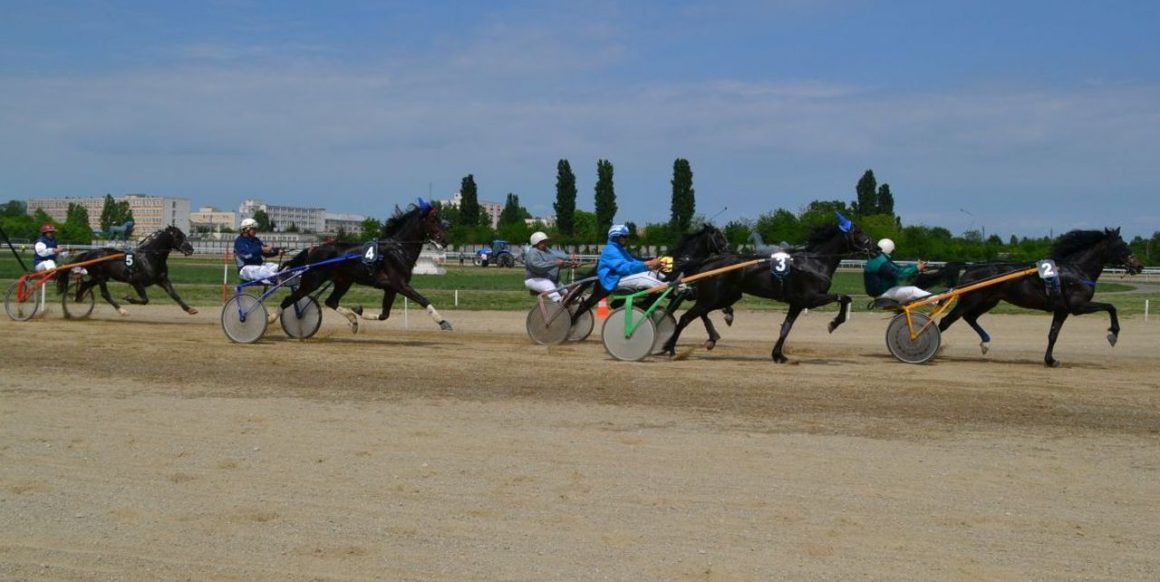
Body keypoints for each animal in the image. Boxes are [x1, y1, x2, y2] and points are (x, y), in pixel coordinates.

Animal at [56, 224, 198, 315]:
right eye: (177, 236)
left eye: (184, 235)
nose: (190, 249)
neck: (149, 258)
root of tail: (89, 253)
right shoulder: (136, 281)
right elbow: (145, 300)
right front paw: (128, 298)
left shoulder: (162, 280)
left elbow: (174, 295)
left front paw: (190, 309)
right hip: (100, 276)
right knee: (105, 294)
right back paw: (122, 310)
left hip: (100, 277)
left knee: (85, 285)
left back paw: (78, 297)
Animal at [278, 202, 450, 333]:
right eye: (433, 220)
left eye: (440, 220)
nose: (445, 241)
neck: (399, 249)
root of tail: (313, 249)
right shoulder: (400, 285)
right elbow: (423, 299)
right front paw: (442, 322)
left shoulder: (391, 288)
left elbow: (385, 314)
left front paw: (358, 310)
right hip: (313, 280)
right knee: (289, 300)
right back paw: (277, 318)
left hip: (343, 281)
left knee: (331, 302)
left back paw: (353, 320)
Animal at [658, 216, 872, 364]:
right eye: (859, 233)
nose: (875, 247)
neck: (814, 263)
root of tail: (708, 262)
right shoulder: (810, 298)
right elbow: (844, 297)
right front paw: (834, 323)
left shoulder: (797, 303)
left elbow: (786, 328)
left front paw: (779, 355)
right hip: (712, 297)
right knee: (686, 318)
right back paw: (670, 348)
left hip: (724, 296)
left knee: (702, 313)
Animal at [932, 226, 1141, 366]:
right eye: (1123, 246)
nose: (1138, 266)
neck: (1077, 271)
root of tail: (970, 267)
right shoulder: (1078, 306)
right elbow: (1111, 307)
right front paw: (1113, 334)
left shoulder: (1062, 310)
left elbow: (1053, 334)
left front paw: (1050, 360)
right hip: (971, 300)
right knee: (946, 321)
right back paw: (933, 349)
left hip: (988, 301)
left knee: (970, 317)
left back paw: (985, 343)